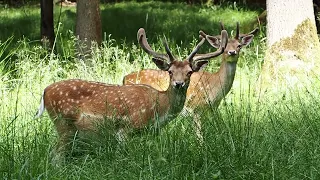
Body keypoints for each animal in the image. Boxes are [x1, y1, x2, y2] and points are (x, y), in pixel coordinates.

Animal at [35, 27, 228, 155]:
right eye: (170, 71)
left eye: (189, 72)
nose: (178, 84)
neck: (159, 107)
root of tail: (45, 91)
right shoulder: (125, 129)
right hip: (63, 123)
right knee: (55, 155)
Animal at [122, 22, 258, 141]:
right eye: (225, 48)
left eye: (239, 45)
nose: (232, 52)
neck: (215, 89)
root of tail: (125, 78)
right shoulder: (195, 109)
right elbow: (199, 136)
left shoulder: (210, 111)